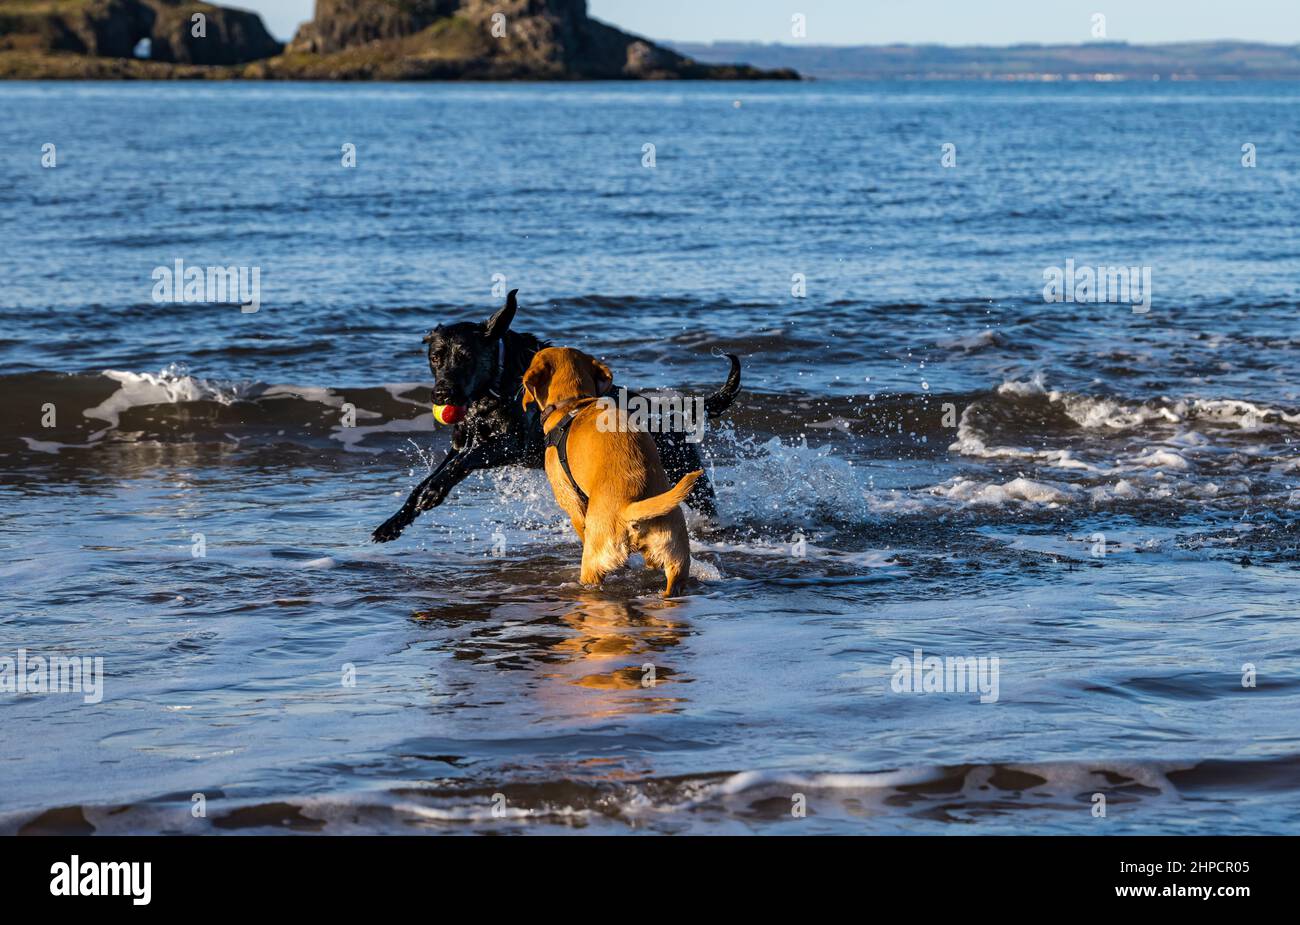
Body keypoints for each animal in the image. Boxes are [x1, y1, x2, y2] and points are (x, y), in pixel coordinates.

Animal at [374, 285, 743, 537]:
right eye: (435, 357)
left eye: (465, 356)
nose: (441, 393)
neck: (496, 384)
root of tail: (668, 411)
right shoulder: (461, 444)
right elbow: (430, 478)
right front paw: (395, 521)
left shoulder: (509, 445)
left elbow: (460, 465)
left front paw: (433, 492)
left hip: (685, 472)